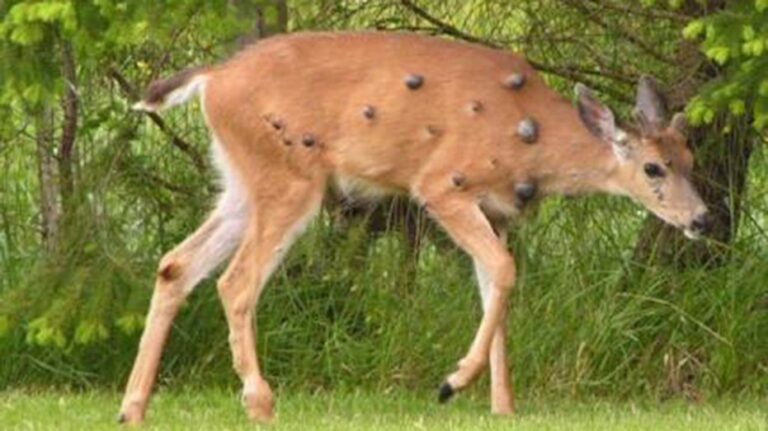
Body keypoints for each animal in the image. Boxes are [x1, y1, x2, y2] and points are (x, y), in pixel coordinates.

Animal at [118, 31, 711, 424]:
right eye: (653, 168)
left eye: (690, 158)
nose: (703, 218)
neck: (530, 138)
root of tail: (212, 80)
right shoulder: (444, 184)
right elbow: (505, 271)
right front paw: (452, 383)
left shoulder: (496, 211)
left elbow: (494, 286)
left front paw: (502, 406)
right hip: (288, 176)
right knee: (235, 281)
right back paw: (261, 403)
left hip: (242, 181)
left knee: (176, 264)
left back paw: (133, 408)